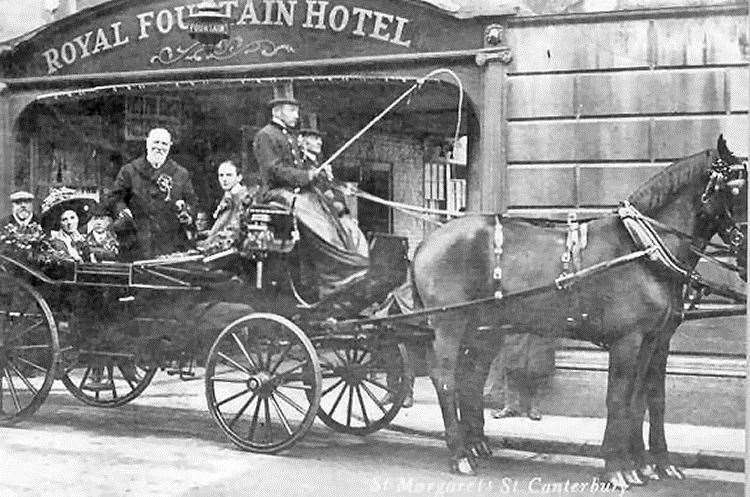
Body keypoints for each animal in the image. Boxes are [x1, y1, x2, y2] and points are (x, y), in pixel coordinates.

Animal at [414, 137, 748, 488]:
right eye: (737, 188)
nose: (744, 257)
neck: (643, 249)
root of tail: (428, 241)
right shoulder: (627, 340)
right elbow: (619, 398)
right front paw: (618, 467)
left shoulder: (657, 340)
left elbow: (647, 398)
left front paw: (651, 464)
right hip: (450, 323)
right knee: (446, 378)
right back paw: (459, 454)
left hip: (483, 329)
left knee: (471, 378)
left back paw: (475, 445)